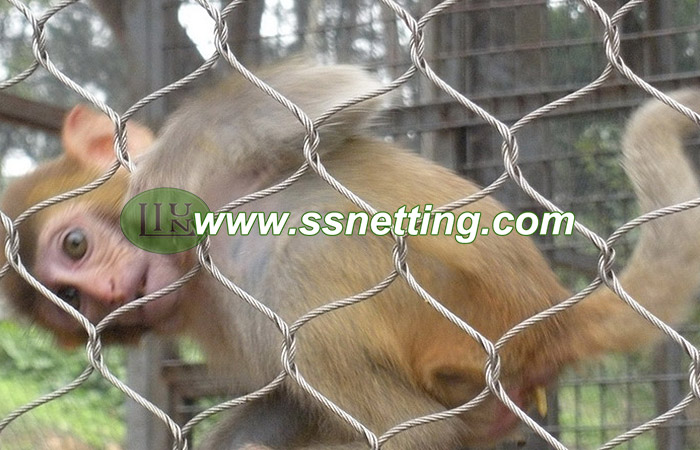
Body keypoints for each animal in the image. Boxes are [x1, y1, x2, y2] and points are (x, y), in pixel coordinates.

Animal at [2, 63, 700, 449]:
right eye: (73, 302)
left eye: (75, 245)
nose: (111, 294)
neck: (200, 264)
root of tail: (547, 316)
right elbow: (284, 397)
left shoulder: (203, 158)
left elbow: (336, 96)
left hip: (455, 306)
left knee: (303, 263)